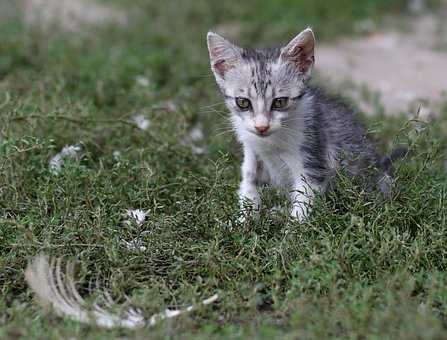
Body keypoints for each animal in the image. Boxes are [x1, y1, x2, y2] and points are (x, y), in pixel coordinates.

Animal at [207, 27, 406, 222]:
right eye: (243, 102)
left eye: (280, 102)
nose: (262, 127)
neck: (271, 143)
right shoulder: (252, 153)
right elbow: (249, 185)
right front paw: (242, 222)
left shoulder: (312, 161)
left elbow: (302, 203)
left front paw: (292, 229)